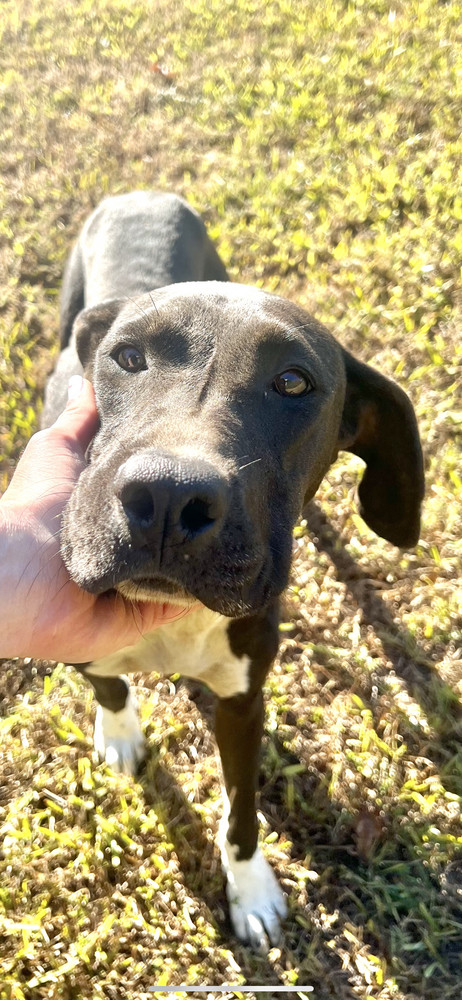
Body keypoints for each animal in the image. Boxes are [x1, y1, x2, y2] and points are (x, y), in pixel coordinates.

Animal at [41, 189, 424, 952]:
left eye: (293, 381)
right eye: (127, 357)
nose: (166, 498)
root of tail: (144, 193)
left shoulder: (244, 702)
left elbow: (243, 811)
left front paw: (251, 891)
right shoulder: (75, 630)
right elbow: (107, 684)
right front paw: (120, 734)